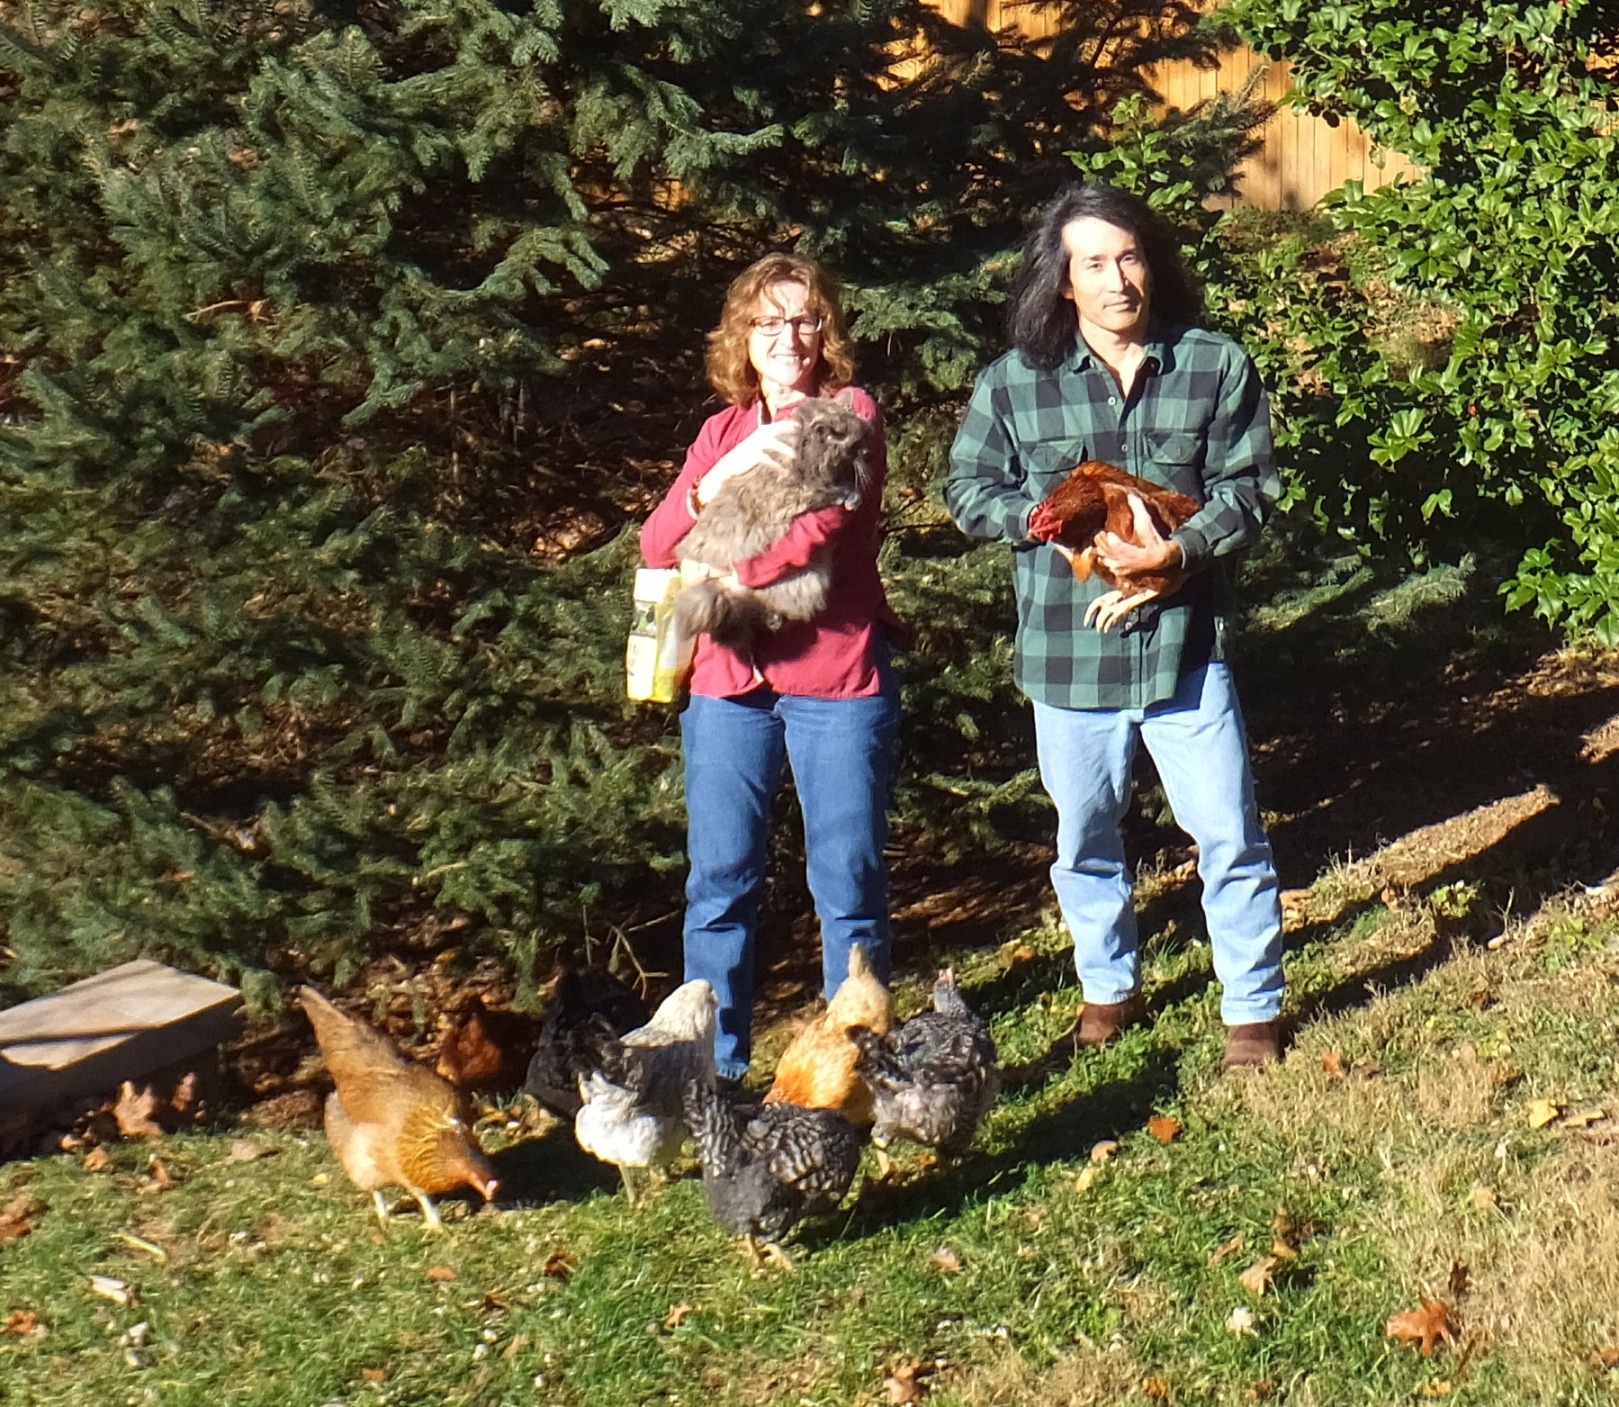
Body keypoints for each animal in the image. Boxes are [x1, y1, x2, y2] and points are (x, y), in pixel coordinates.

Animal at [670, 391, 874, 650]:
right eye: (855, 444)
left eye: (866, 436)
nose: (868, 452)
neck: (803, 449)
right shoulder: (795, 493)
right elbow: (832, 490)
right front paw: (851, 495)